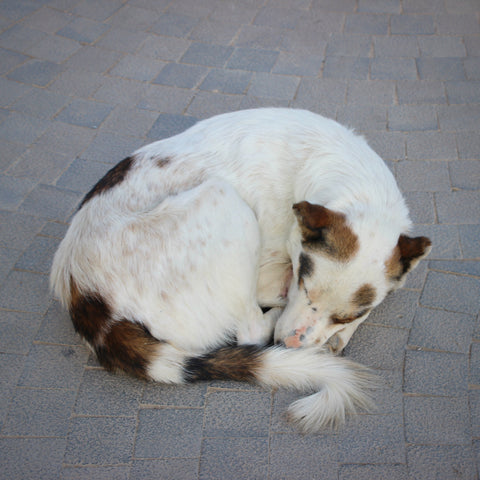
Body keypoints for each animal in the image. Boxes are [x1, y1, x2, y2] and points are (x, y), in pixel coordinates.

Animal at [49, 108, 432, 432]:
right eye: (304, 284)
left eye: (345, 315)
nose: (288, 345)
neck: (352, 182)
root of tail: (82, 292)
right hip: (223, 198)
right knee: (251, 331)